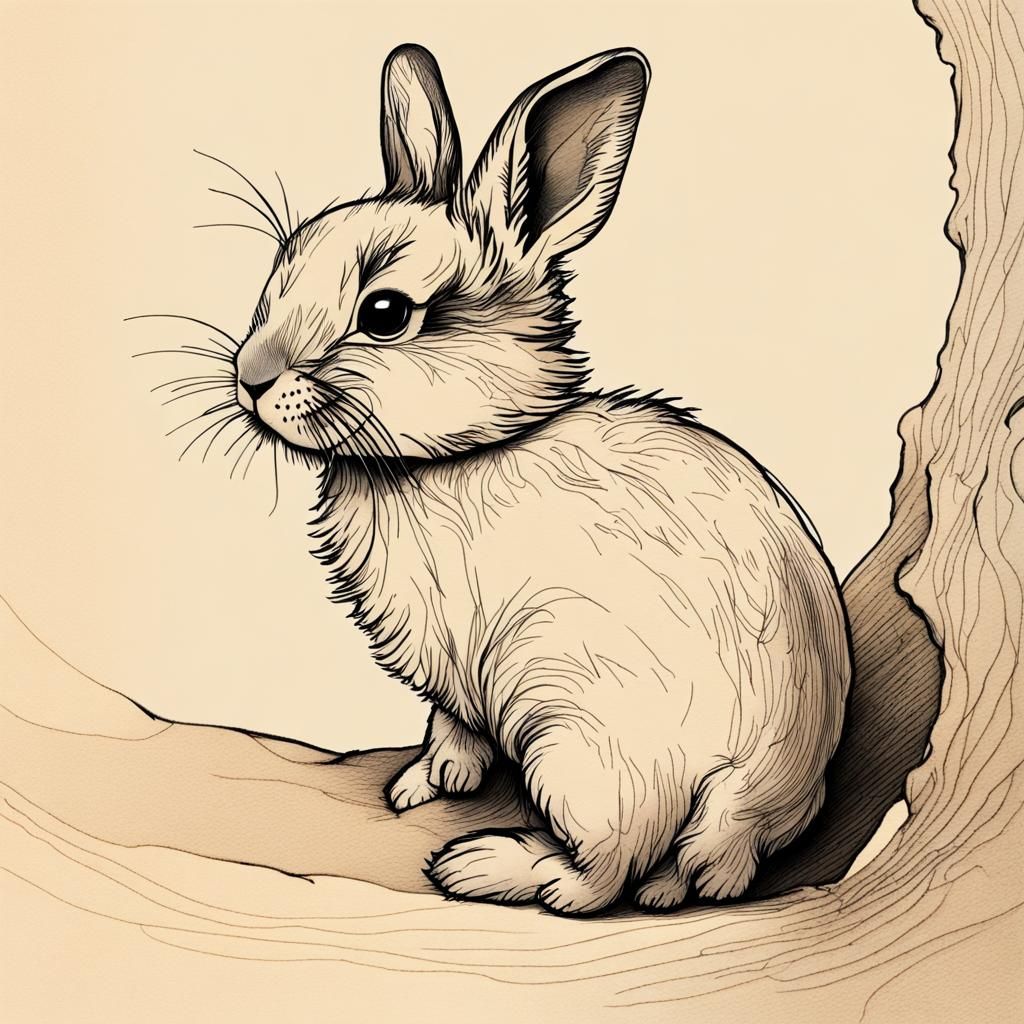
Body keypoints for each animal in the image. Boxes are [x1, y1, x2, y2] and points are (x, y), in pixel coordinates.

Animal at [226, 43, 853, 915]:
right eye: (280, 268)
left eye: (385, 312)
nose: (250, 377)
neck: (464, 451)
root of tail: (753, 793)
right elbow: (453, 730)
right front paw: (431, 781)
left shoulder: (462, 655)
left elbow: (455, 720)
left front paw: (428, 786)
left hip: (577, 739)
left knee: (601, 876)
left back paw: (483, 866)